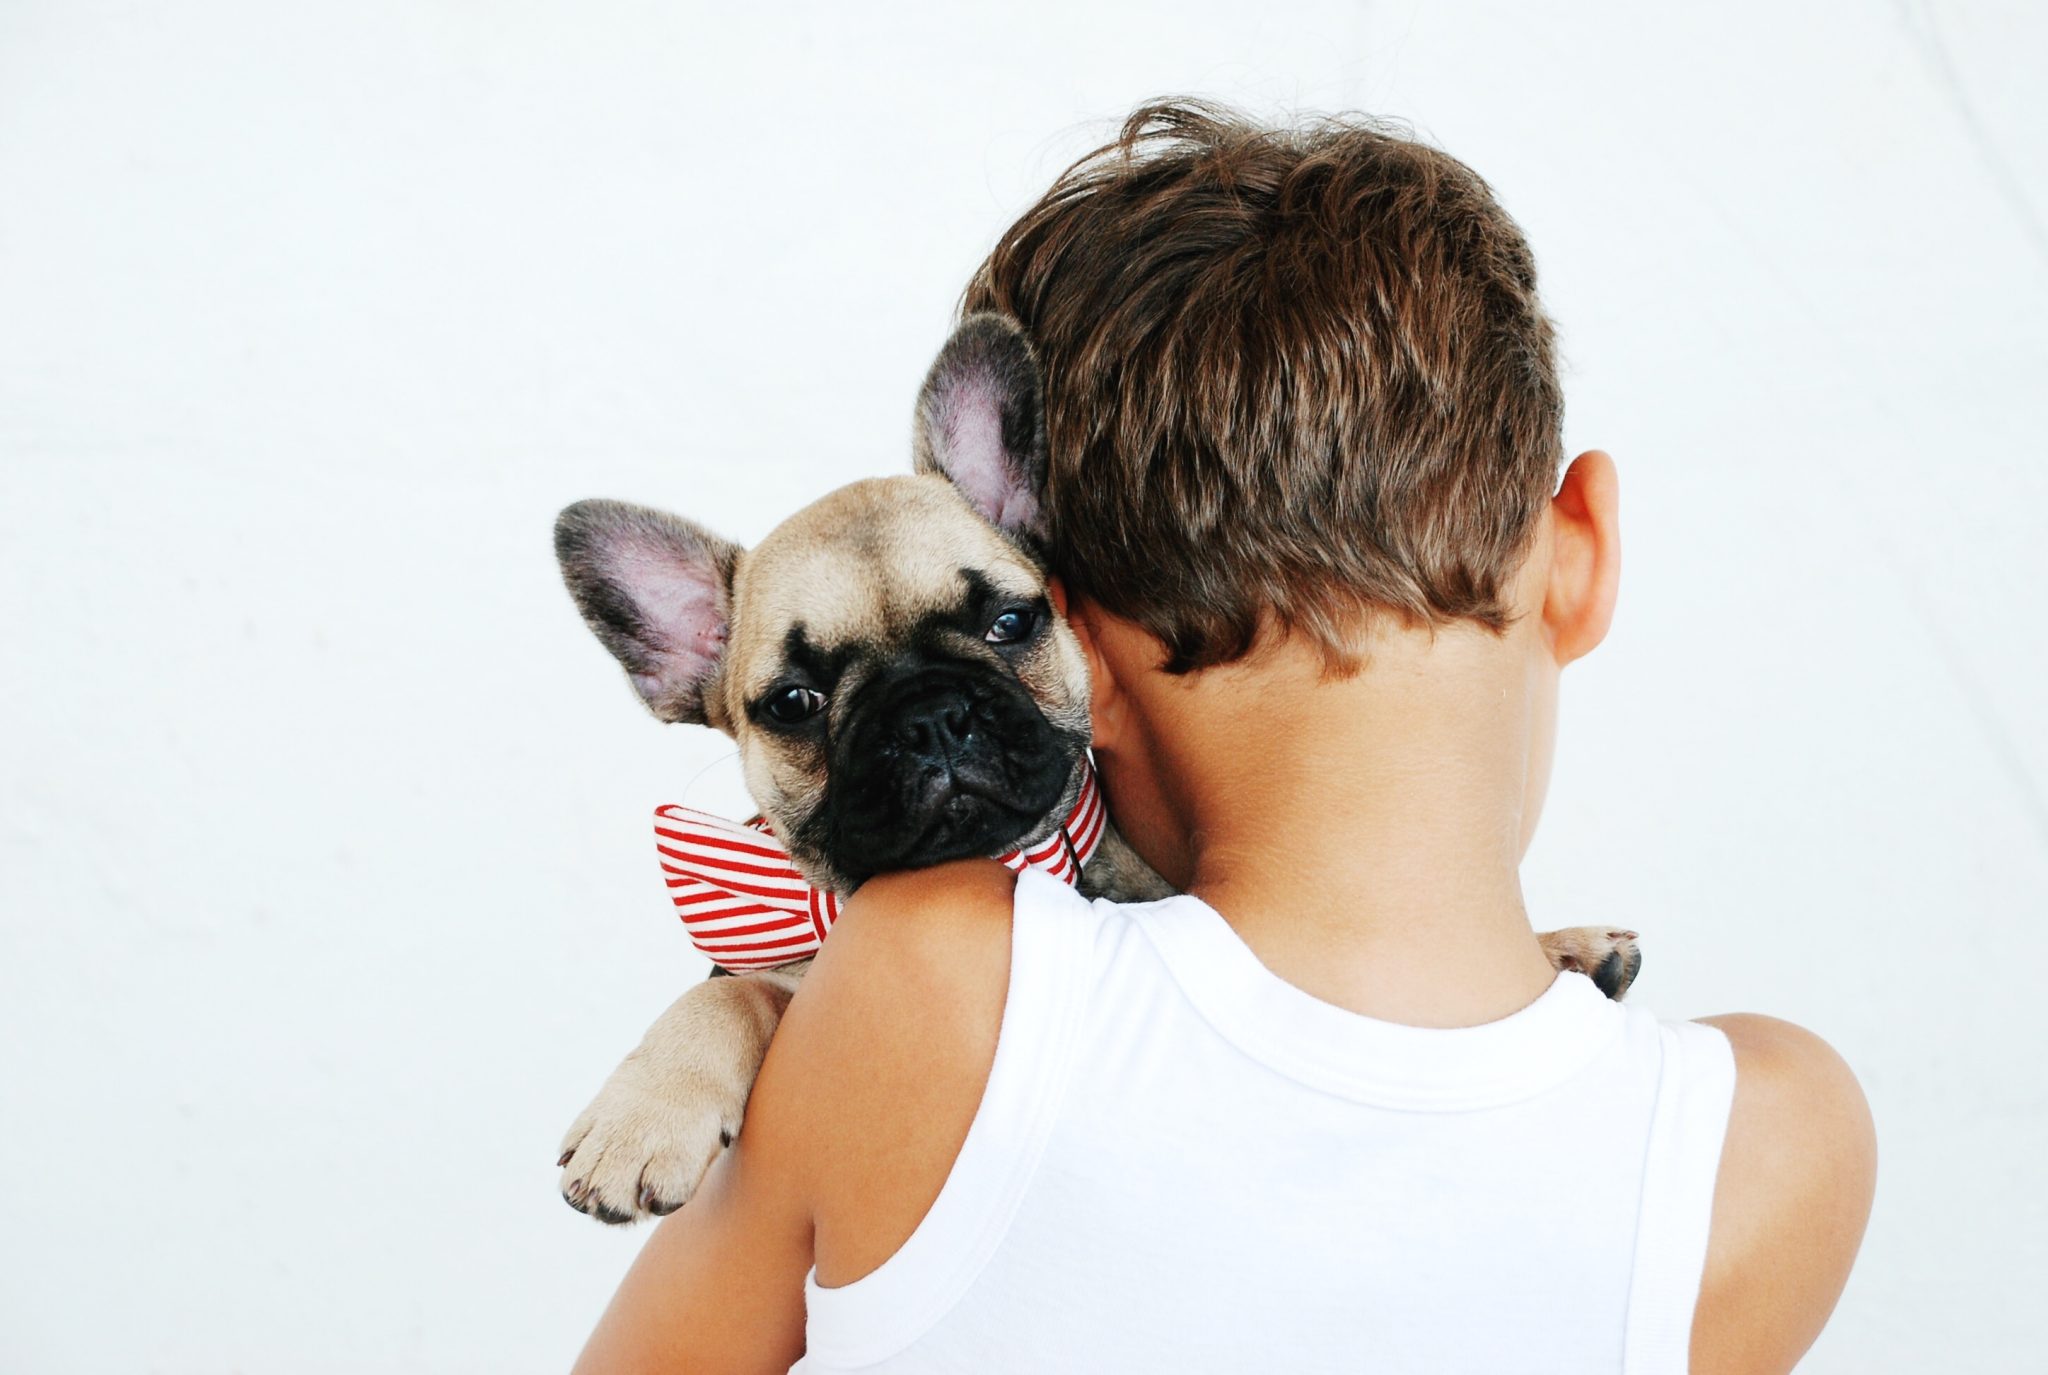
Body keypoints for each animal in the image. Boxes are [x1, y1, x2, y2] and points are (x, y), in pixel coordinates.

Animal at [552, 315, 1638, 1229]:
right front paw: (643, 1114)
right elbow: (724, 993)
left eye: (1010, 620)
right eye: (793, 703)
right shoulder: (794, 975)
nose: (930, 714)